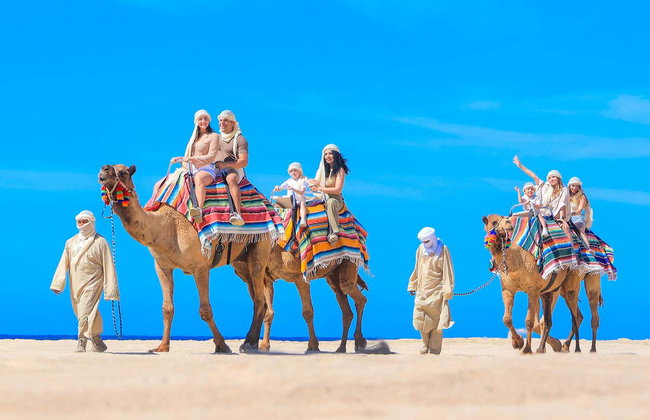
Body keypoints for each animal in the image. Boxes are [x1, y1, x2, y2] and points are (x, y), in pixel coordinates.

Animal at [98, 164, 272, 353]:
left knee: (259, 297)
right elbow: (167, 308)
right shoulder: (162, 266)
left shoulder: (200, 267)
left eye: (122, 172)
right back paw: (252, 342)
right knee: (257, 296)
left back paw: (248, 343)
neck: (166, 227)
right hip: (241, 262)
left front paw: (222, 345)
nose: (104, 169)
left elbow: (205, 310)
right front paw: (162, 346)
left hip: (260, 248)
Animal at [232, 244, 375, 353]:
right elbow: (268, 312)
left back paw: (359, 342)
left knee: (355, 295)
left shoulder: (300, 275)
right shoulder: (266, 278)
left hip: (348, 262)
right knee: (345, 306)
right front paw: (263, 346)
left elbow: (307, 312)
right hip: (332, 275)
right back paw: (341, 348)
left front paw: (313, 346)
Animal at [482, 214, 579, 354]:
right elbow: (507, 319)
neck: (517, 263)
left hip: (569, 282)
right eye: (494, 222)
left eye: (505, 217)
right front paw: (517, 343)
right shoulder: (508, 289)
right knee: (548, 320)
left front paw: (526, 349)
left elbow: (529, 321)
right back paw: (549, 347)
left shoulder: (533, 290)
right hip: (547, 291)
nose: (508, 223)